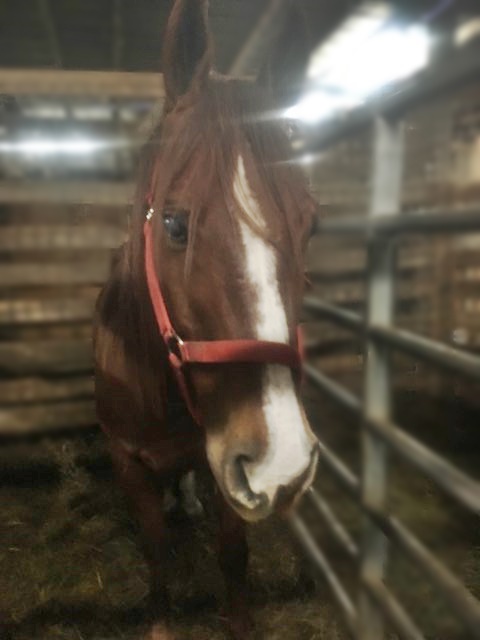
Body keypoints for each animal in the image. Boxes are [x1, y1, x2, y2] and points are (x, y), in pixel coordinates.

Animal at [93, 0, 319, 637]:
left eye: (312, 226)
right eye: (174, 224)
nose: (282, 462)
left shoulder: (224, 465)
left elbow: (232, 553)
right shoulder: (127, 461)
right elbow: (155, 547)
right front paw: (161, 621)